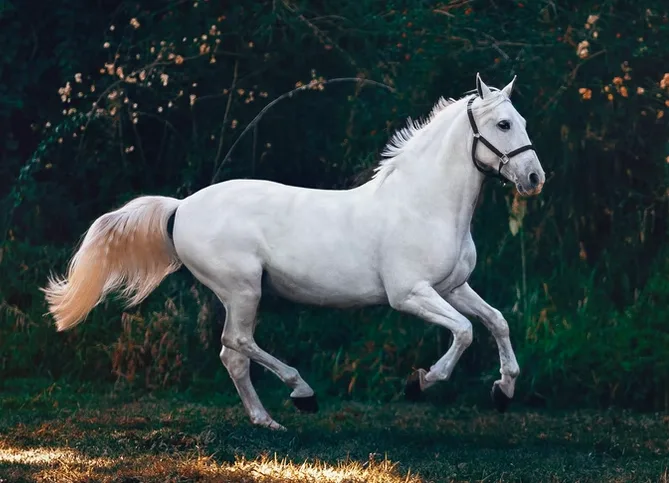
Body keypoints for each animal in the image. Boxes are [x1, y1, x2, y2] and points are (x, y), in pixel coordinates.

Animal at [43, 74, 545, 430]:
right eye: (503, 124)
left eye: (522, 122)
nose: (534, 178)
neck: (424, 204)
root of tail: (181, 207)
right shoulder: (410, 294)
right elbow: (464, 331)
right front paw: (420, 383)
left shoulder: (453, 287)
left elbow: (496, 321)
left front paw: (503, 391)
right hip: (243, 289)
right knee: (237, 343)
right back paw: (302, 394)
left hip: (241, 294)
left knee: (232, 355)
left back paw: (267, 421)